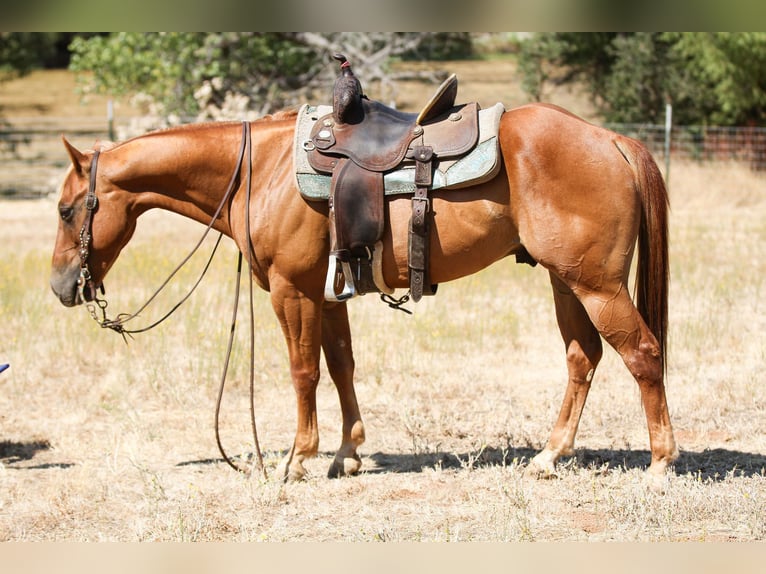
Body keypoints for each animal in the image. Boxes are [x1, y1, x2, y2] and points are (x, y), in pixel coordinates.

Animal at [50, 102, 678, 484]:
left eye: (65, 210)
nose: (60, 286)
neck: (262, 170)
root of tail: (612, 139)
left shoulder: (292, 292)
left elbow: (303, 371)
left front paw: (298, 459)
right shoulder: (327, 293)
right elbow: (341, 367)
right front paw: (347, 454)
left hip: (596, 284)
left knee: (643, 354)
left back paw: (660, 463)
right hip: (565, 280)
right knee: (583, 358)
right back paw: (549, 456)